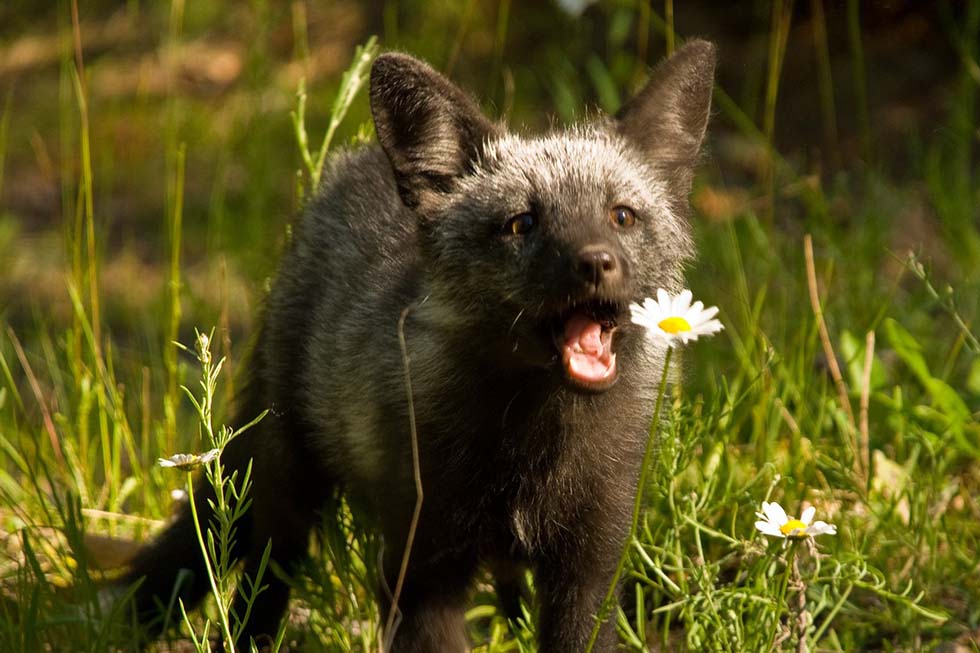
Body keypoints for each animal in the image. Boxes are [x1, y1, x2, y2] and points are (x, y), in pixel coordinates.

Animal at [126, 40, 716, 652]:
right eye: (522, 223)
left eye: (621, 216)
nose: (596, 263)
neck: (534, 456)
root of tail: (350, 166)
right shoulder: (422, 571)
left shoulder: (590, 573)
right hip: (288, 494)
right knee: (261, 581)